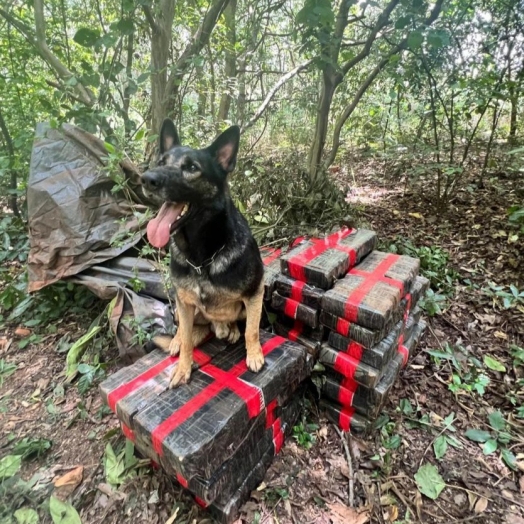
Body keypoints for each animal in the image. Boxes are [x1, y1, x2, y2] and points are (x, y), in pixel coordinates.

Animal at [141, 119, 264, 388]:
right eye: (161, 162)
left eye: (191, 167)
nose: (146, 179)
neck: (201, 258)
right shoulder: (185, 303)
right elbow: (188, 339)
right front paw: (183, 368)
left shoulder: (255, 293)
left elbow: (252, 329)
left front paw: (254, 354)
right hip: (180, 304)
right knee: (182, 329)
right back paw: (179, 340)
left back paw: (230, 329)